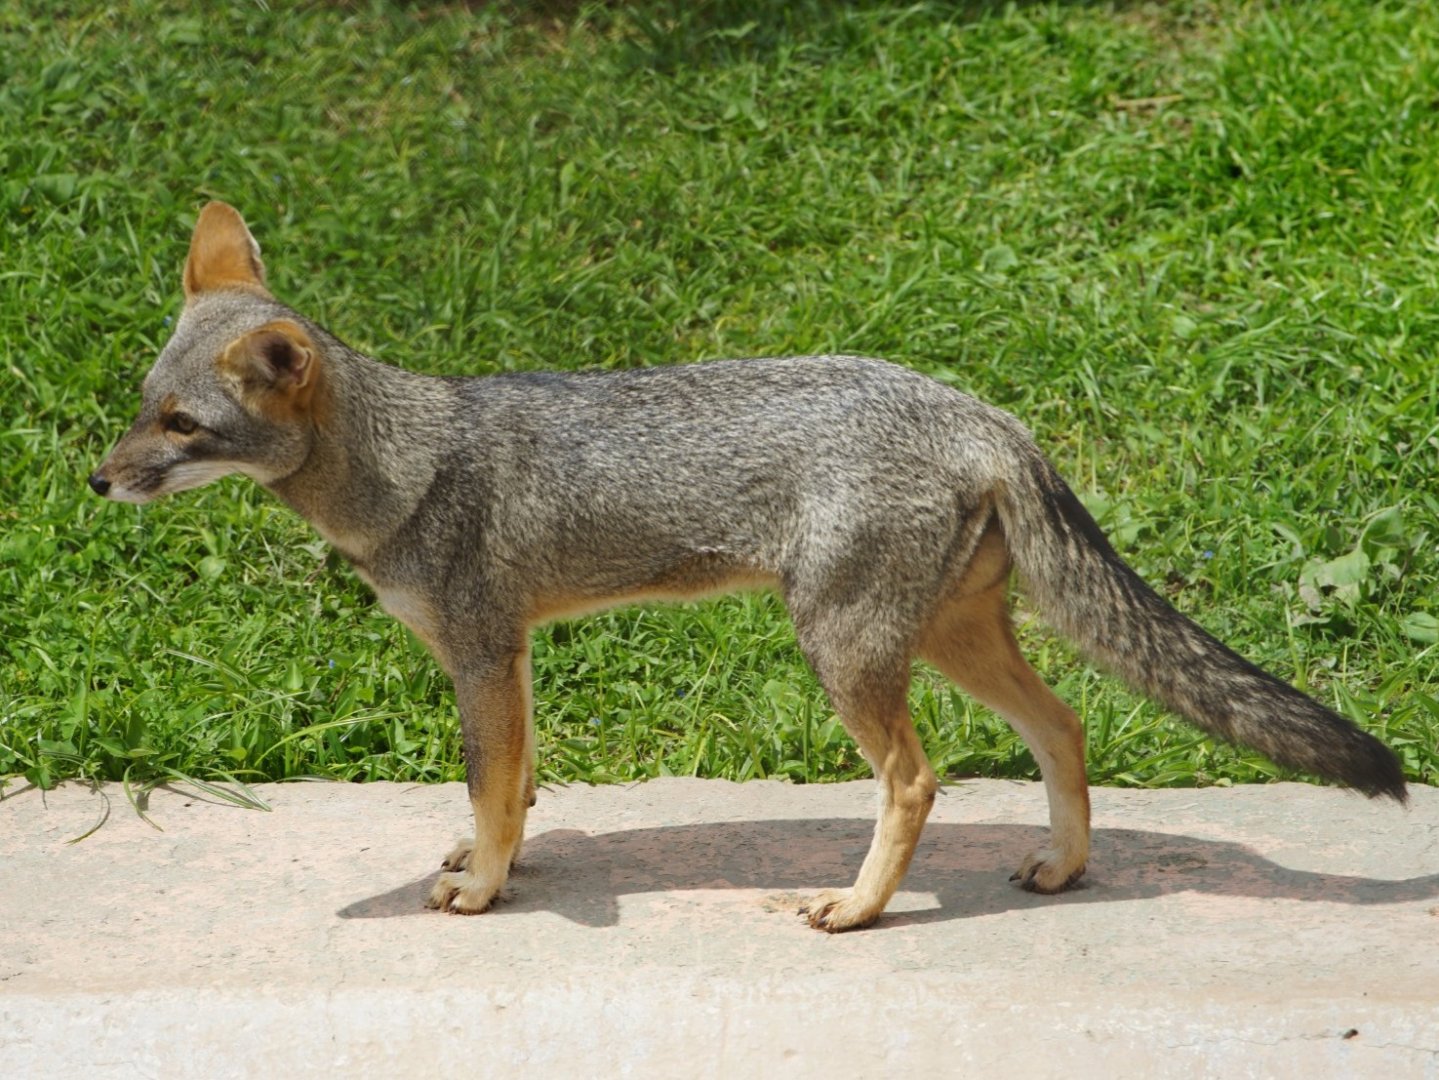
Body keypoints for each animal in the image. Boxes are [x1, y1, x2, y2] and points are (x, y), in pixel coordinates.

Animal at [91, 202, 1406, 931]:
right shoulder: (512, 655)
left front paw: (483, 892)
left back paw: (859, 908)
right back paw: (1061, 867)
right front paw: (488, 856)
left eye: (184, 429)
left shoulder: (481, 651)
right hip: (946, 640)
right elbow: (513, 785)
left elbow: (491, 783)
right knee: (1067, 726)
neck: (405, 461)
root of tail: (980, 411)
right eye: (142, 407)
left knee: (916, 781)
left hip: (843, 650)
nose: (96, 483)